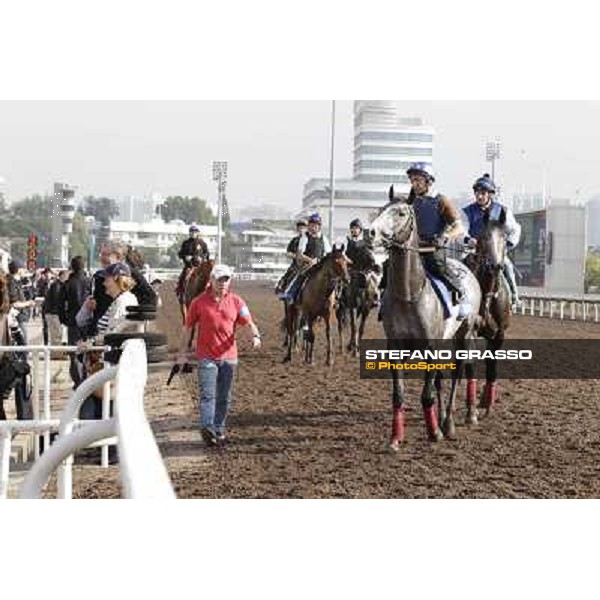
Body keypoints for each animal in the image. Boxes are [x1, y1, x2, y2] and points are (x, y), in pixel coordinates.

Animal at [370, 193, 482, 450]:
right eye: (381, 209)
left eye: (401, 213)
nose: (371, 232)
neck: (409, 295)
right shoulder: (396, 347)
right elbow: (399, 395)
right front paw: (395, 438)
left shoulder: (431, 346)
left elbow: (427, 394)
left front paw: (434, 433)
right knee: (440, 379)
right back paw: (442, 418)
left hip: (463, 333)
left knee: (458, 372)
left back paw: (449, 423)